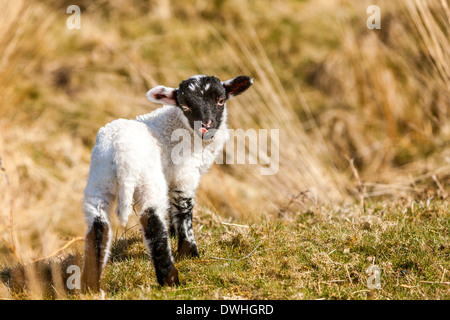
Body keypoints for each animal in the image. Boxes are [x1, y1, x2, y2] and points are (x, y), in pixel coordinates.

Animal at [81, 74, 253, 290]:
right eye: (185, 106)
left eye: (220, 100)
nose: (206, 126)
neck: (179, 125)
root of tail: (120, 150)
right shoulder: (184, 175)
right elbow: (184, 210)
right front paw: (189, 252)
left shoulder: (171, 175)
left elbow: (173, 208)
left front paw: (173, 233)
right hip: (148, 180)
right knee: (152, 221)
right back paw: (170, 279)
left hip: (99, 179)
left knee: (98, 225)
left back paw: (90, 285)